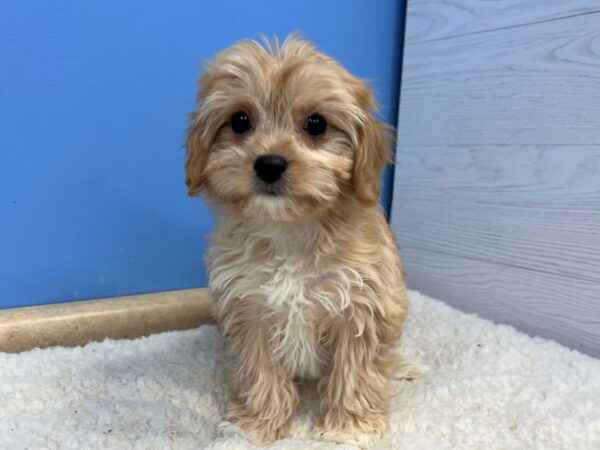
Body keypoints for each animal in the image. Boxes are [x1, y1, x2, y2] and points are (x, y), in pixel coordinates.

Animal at [183, 37, 408, 448]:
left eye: (316, 124)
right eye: (240, 121)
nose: (269, 164)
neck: (290, 230)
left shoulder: (361, 306)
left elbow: (355, 371)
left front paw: (347, 427)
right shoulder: (249, 308)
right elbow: (261, 372)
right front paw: (256, 425)